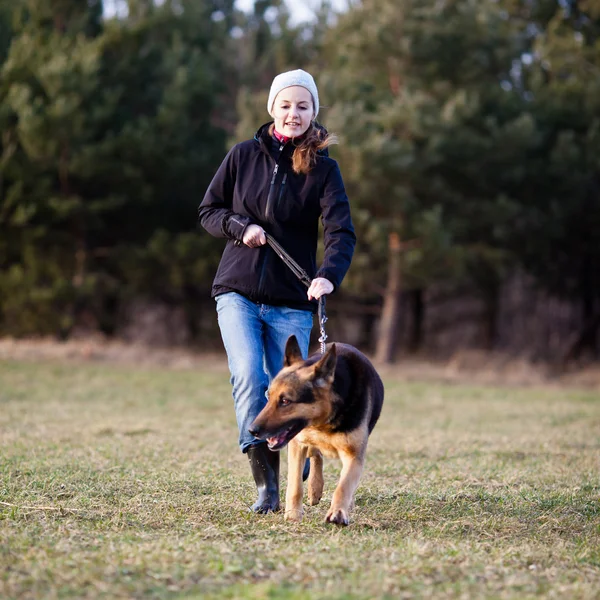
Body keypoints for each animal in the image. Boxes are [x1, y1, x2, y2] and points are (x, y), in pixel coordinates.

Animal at [248, 338, 384, 524]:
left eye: (285, 401)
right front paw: (293, 515)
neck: (324, 421)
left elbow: (343, 486)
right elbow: (295, 485)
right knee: (316, 455)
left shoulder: (354, 455)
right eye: (268, 396)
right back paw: (315, 487)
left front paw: (338, 512)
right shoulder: (297, 445)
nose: (251, 430)